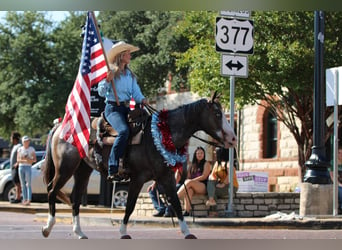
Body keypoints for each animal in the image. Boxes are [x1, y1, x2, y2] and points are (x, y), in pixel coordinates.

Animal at [41, 92, 236, 238]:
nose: (233, 138)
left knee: (75, 198)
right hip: (65, 167)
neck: (160, 135)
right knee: (51, 190)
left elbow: (176, 203)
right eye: (217, 114)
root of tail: (60, 126)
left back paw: (79, 232)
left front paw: (187, 232)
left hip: (83, 170)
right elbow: (130, 205)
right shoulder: (138, 178)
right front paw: (123, 231)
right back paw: (47, 227)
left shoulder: (166, 177)